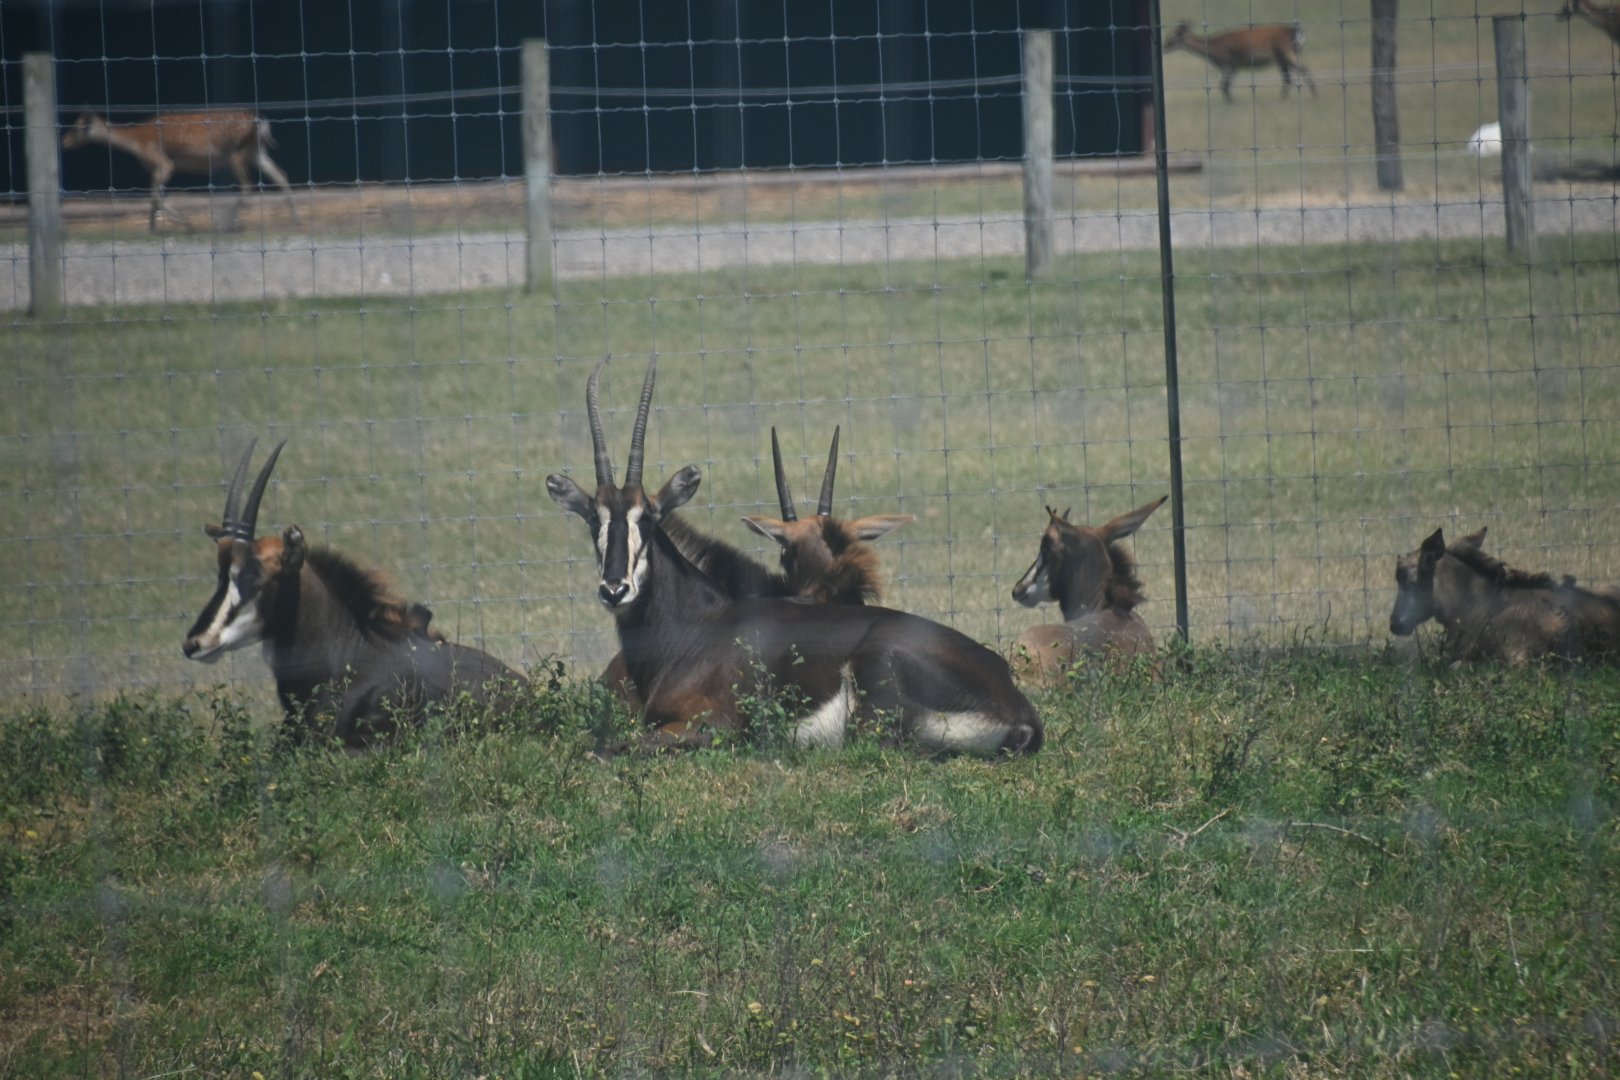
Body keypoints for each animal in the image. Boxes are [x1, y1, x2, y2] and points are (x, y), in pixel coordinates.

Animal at [61, 110, 297, 232]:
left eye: (78, 127)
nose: (65, 141)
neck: (136, 144)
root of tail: (262, 122)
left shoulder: (163, 162)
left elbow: (154, 195)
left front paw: (184, 222)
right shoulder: (155, 167)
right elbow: (154, 197)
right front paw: (151, 228)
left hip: (236, 153)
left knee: (249, 186)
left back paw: (229, 223)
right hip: (256, 151)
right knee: (281, 175)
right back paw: (295, 218)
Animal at [1163, 22, 1316, 102]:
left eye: (1171, 37)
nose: (1164, 46)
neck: (1212, 49)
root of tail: (1298, 32)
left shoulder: (1228, 62)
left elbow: (1224, 85)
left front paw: (1232, 102)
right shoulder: (1233, 65)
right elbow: (1225, 85)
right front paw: (1232, 102)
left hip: (1286, 50)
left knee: (1304, 70)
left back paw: (1315, 96)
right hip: (1282, 56)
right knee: (1288, 77)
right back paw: (1282, 99)